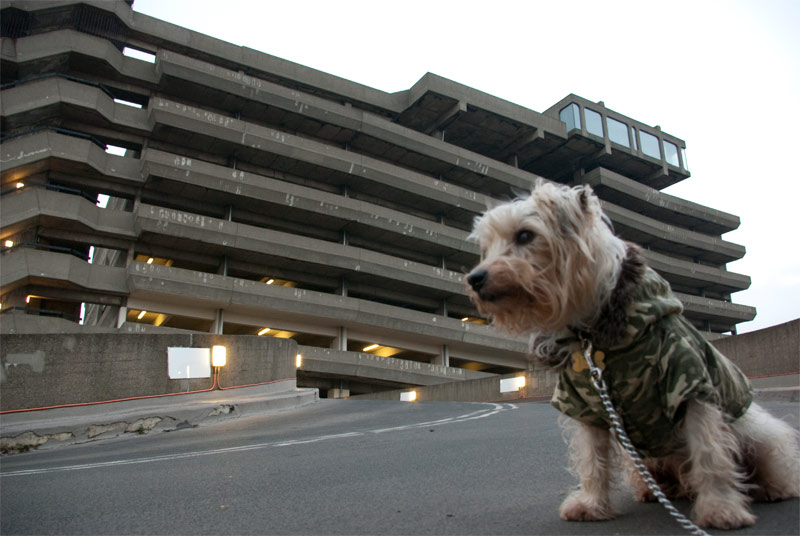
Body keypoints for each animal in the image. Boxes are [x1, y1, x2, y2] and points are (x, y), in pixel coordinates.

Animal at [466, 179, 796, 528]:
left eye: (525, 235)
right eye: (487, 247)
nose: (474, 279)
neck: (592, 333)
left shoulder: (690, 385)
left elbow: (709, 453)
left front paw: (720, 508)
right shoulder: (585, 405)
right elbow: (592, 459)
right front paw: (592, 503)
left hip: (757, 431)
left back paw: (770, 488)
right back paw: (657, 489)